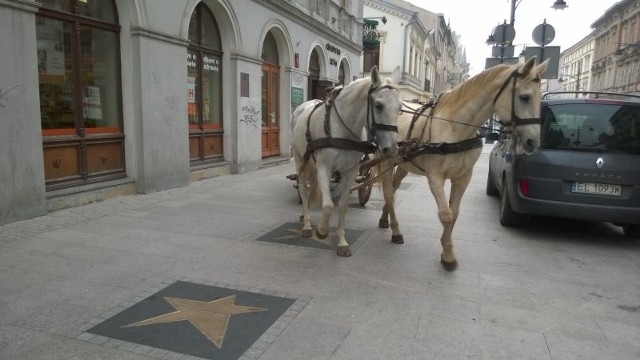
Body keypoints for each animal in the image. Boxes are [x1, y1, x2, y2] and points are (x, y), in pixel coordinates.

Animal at [292, 66, 402, 258]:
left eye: (400, 108)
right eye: (378, 105)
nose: (391, 149)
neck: (340, 128)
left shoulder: (350, 171)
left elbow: (343, 206)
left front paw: (342, 241)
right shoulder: (324, 167)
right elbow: (328, 205)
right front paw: (322, 231)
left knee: (312, 187)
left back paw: (307, 214)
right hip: (300, 159)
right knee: (304, 190)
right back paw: (306, 224)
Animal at [378, 57, 548, 270]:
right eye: (524, 97)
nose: (533, 142)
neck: (454, 127)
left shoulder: (463, 177)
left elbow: (455, 213)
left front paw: (446, 249)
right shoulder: (435, 178)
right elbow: (446, 214)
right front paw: (448, 254)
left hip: (403, 165)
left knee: (392, 190)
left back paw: (385, 219)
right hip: (386, 159)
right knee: (388, 193)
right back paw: (395, 230)